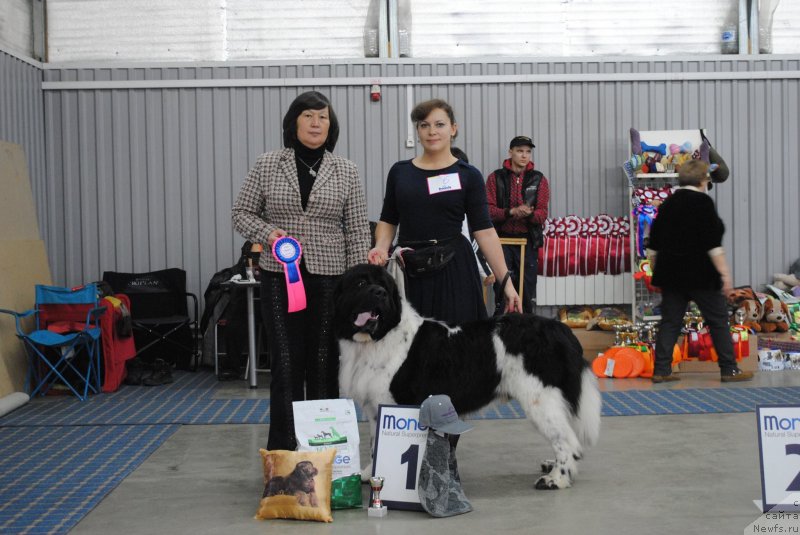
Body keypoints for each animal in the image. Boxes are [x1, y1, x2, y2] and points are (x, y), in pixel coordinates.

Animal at [332, 264, 600, 490]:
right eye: (360, 283)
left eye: (385, 287)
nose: (379, 293)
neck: (376, 339)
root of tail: (559, 328)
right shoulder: (374, 409)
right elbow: (374, 444)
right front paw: (370, 473)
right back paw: (551, 465)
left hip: (540, 399)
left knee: (567, 440)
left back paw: (556, 478)